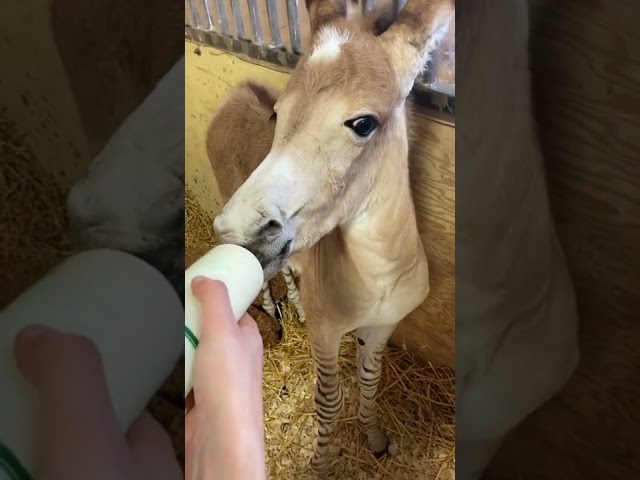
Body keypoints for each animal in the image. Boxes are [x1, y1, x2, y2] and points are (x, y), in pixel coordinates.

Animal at [209, 0, 450, 474]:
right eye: (278, 113)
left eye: (363, 123)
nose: (235, 229)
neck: (379, 275)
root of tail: (234, 95)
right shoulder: (326, 334)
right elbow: (329, 402)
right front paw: (320, 467)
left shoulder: (384, 325)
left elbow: (370, 383)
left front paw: (375, 441)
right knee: (266, 278)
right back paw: (276, 316)